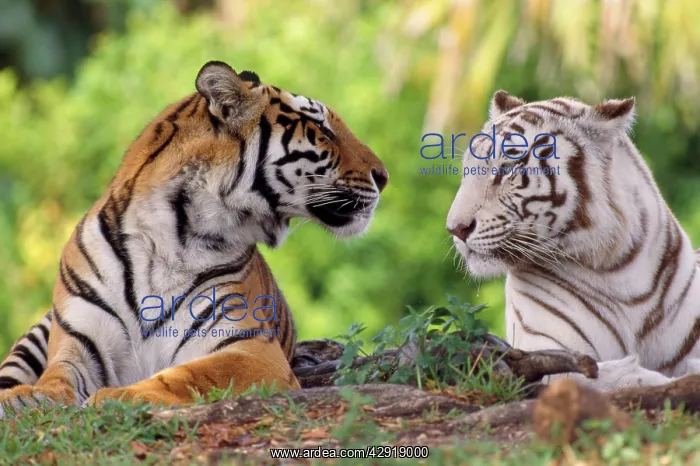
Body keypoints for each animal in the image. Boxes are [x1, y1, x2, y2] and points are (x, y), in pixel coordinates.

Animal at [0, 60, 388, 415]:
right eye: (320, 127)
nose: (383, 177)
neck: (167, 239)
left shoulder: (249, 348)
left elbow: (187, 375)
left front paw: (116, 396)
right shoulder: (79, 340)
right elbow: (57, 375)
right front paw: (31, 397)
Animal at [446, 90, 700, 391]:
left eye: (507, 169)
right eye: (468, 170)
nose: (455, 229)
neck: (615, 266)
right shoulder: (547, 347)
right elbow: (613, 376)